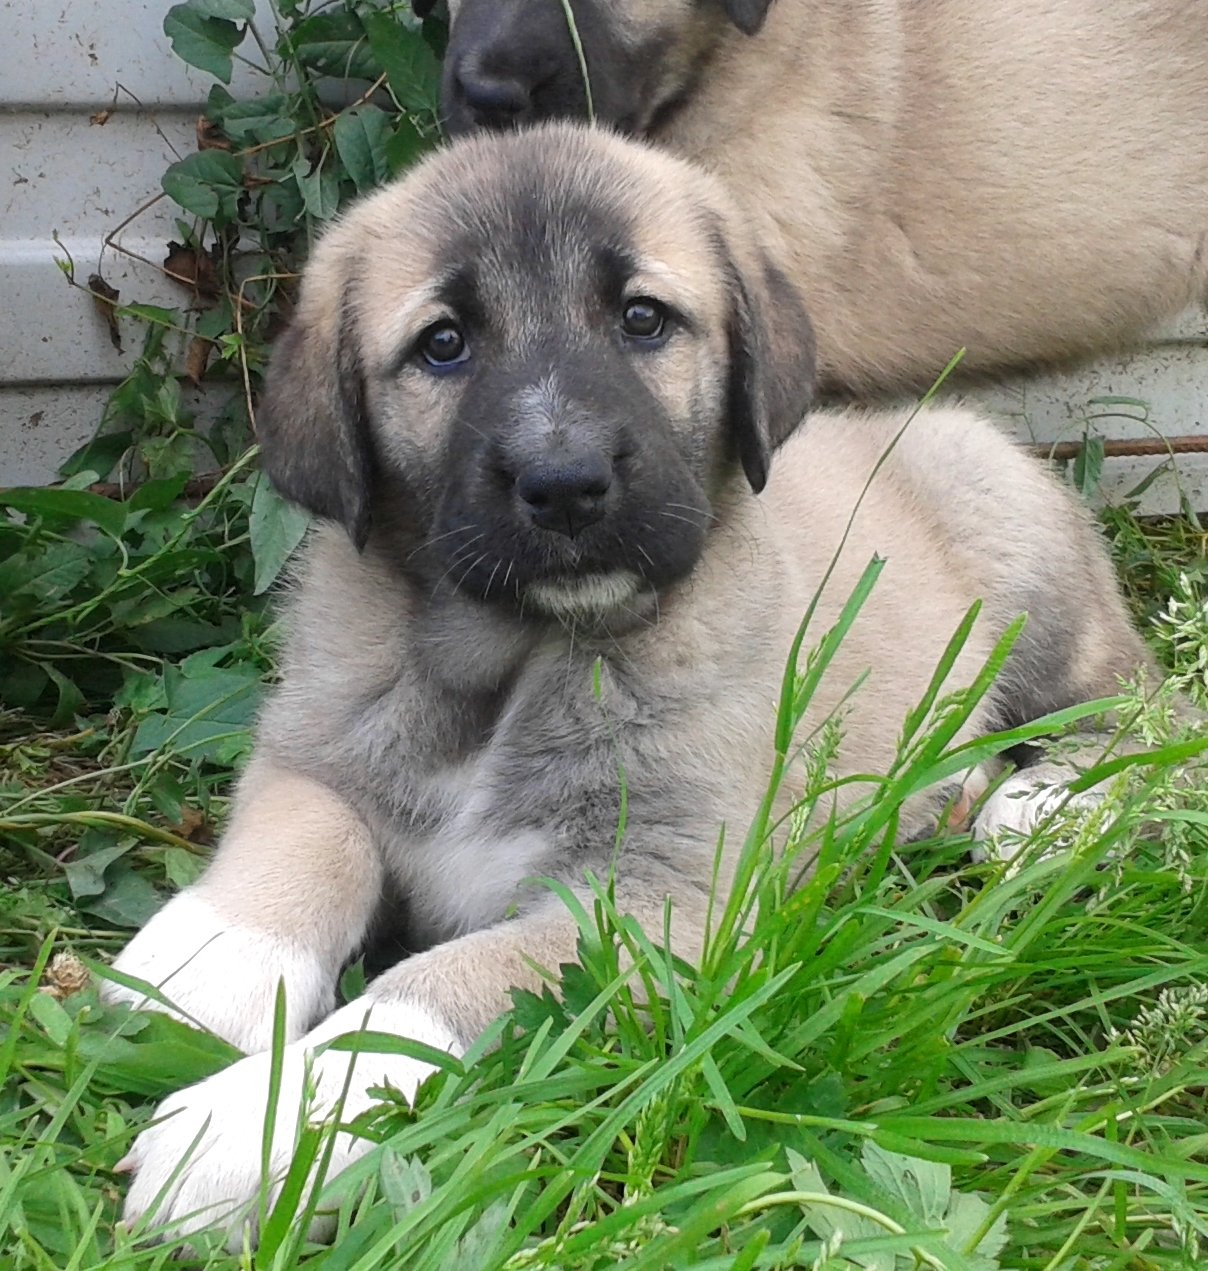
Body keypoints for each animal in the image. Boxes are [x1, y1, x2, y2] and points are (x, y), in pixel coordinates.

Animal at [101, 123, 1154, 1245]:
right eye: (443, 343)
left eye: (643, 319)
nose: (564, 483)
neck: (510, 660)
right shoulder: (318, 742)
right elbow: (308, 834)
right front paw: (210, 956)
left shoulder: (656, 906)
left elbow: (425, 988)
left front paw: (253, 1129)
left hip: (1025, 576)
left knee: (1144, 697)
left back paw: (1051, 802)